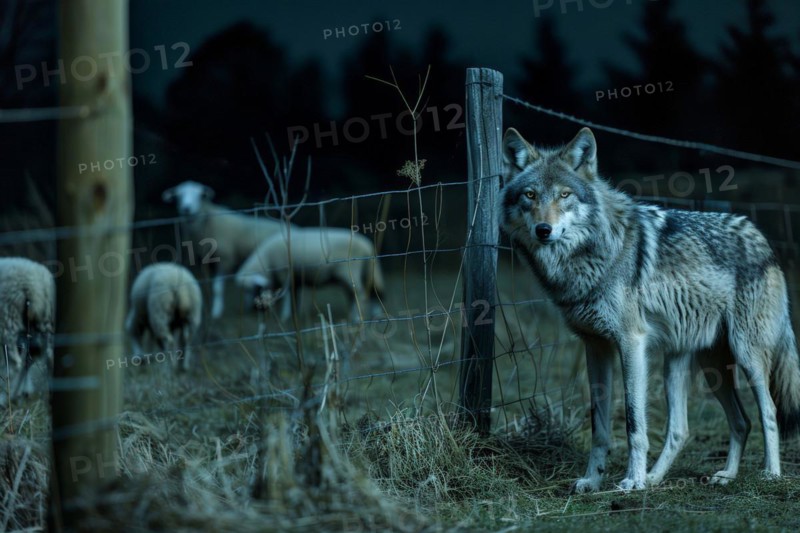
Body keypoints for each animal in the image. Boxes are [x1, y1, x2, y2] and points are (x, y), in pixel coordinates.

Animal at [162, 180, 293, 320]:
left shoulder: (225, 258)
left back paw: (285, 313)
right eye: (178, 196)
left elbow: (217, 287)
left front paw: (216, 311)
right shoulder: (204, 261)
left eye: (200, 195)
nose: (186, 208)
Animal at [235, 227, 385, 322]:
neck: (267, 261)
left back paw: (356, 317)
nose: (251, 309)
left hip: (349, 270)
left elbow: (287, 295)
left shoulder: (285, 273)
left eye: (253, 289)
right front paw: (295, 314)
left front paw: (285, 315)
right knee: (361, 293)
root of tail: (368, 246)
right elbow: (294, 295)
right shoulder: (295, 278)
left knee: (359, 293)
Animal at [499, 127, 800, 492]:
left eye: (565, 195)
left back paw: (771, 473)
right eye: (530, 195)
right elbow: (599, 426)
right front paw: (593, 480)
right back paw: (702, 476)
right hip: (695, 365)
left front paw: (632, 480)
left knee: (768, 411)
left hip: (746, 355)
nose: (544, 230)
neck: (590, 256)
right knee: (714, 425)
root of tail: (761, 237)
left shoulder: (632, 343)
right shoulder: (595, 346)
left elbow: (633, 422)